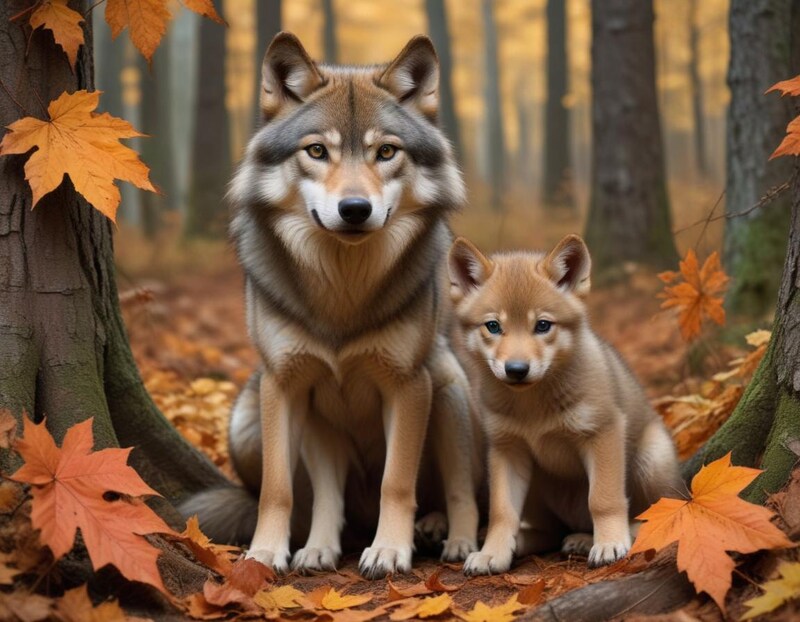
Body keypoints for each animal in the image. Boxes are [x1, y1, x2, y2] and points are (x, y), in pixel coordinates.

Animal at [180, 33, 480, 579]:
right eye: (317, 151)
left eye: (386, 152)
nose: (355, 209)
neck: (343, 290)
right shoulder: (286, 384)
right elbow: (278, 490)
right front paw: (266, 554)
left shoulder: (408, 385)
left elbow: (396, 482)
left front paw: (390, 551)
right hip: (251, 422)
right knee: (320, 498)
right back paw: (318, 548)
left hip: (447, 387)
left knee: (460, 489)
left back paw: (451, 536)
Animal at [447, 235, 681, 574]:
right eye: (493, 326)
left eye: (543, 325)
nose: (516, 369)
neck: (533, 406)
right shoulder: (507, 449)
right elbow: (502, 513)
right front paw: (493, 553)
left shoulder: (603, 433)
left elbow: (603, 499)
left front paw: (610, 543)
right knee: (552, 530)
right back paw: (532, 542)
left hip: (652, 460)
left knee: (666, 508)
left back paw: (612, 534)